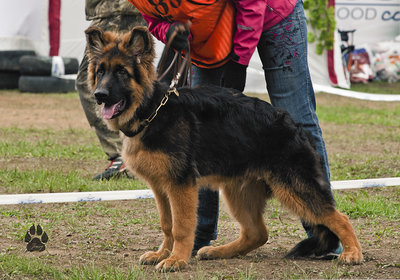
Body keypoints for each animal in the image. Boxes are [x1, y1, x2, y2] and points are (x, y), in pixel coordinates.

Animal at [84, 26, 362, 272]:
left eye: (122, 72)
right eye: (101, 71)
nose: (99, 95)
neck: (152, 111)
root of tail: (295, 126)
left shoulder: (180, 185)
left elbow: (181, 226)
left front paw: (177, 260)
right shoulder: (160, 187)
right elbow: (167, 224)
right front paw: (164, 253)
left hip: (295, 188)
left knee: (338, 217)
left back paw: (352, 253)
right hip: (238, 191)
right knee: (257, 233)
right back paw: (218, 251)